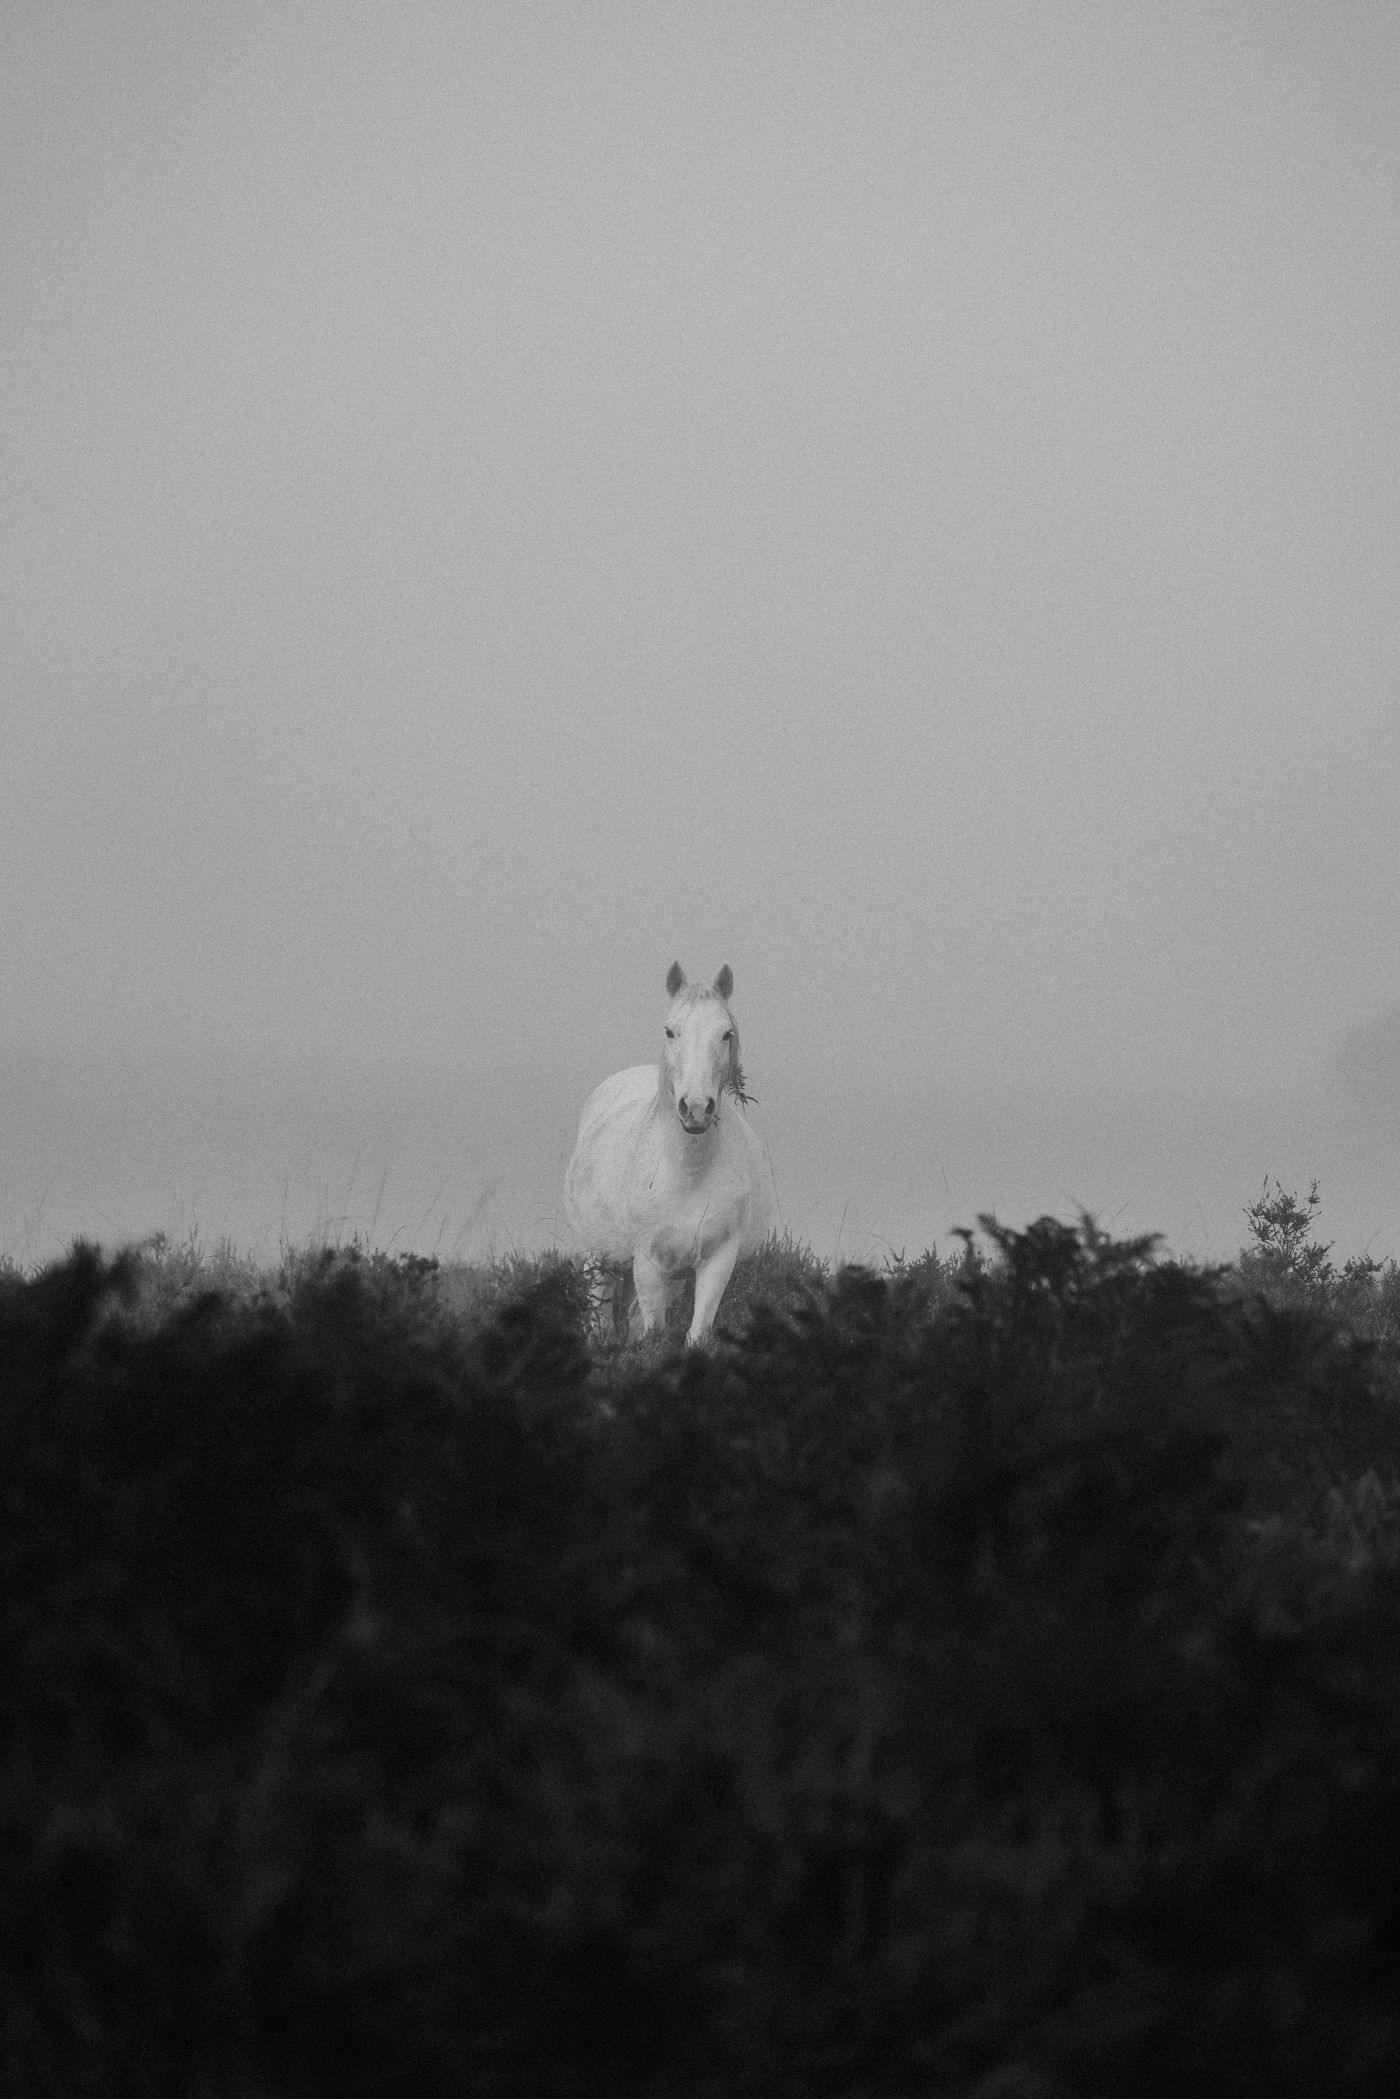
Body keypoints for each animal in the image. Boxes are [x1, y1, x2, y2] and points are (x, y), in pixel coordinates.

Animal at [564, 962, 773, 1345]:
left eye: (726, 1033)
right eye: (670, 1031)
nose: (696, 1109)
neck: (687, 1173)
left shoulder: (716, 1261)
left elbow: (696, 1333)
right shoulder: (647, 1261)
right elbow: (653, 1332)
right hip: (597, 1257)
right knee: (601, 1320)